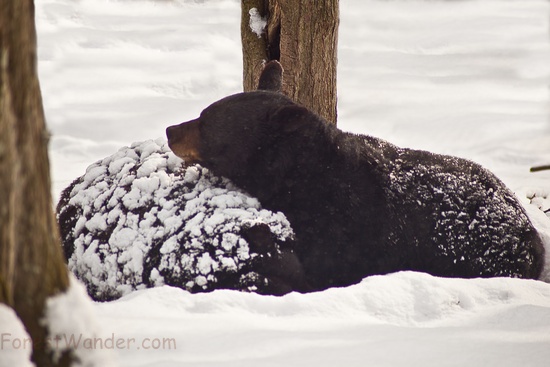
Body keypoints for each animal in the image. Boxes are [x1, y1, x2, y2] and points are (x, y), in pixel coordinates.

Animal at [168, 61, 548, 292]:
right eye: (203, 112)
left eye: (205, 122)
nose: (171, 129)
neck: (299, 179)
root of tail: (530, 231)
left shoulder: (344, 230)